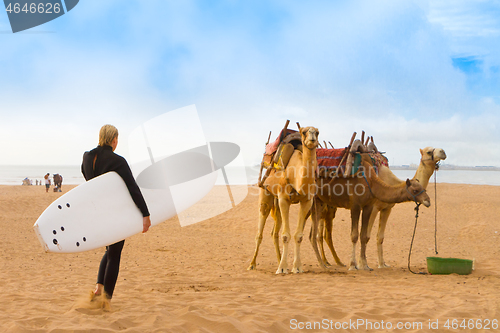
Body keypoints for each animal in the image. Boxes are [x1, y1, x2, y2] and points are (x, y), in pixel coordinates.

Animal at [248, 126, 318, 274]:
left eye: (317, 132)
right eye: (304, 132)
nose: (312, 137)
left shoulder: (307, 201)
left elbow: (299, 235)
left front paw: (297, 267)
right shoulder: (284, 199)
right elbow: (285, 235)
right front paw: (282, 269)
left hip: (277, 203)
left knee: (274, 232)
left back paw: (279, 259)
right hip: (266, 193)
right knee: (260, 231)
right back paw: (252, 264)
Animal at [316, 147, 446, 268]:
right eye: (429, 151)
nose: (443, 152)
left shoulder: (387, 208)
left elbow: (380, 237)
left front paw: (382, 264)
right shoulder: (372, 207)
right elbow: (365, 235)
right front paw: (360, 264)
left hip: (325, 206)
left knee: (321, 234)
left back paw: (328, 261)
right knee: (325, 234)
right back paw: (331, 262)